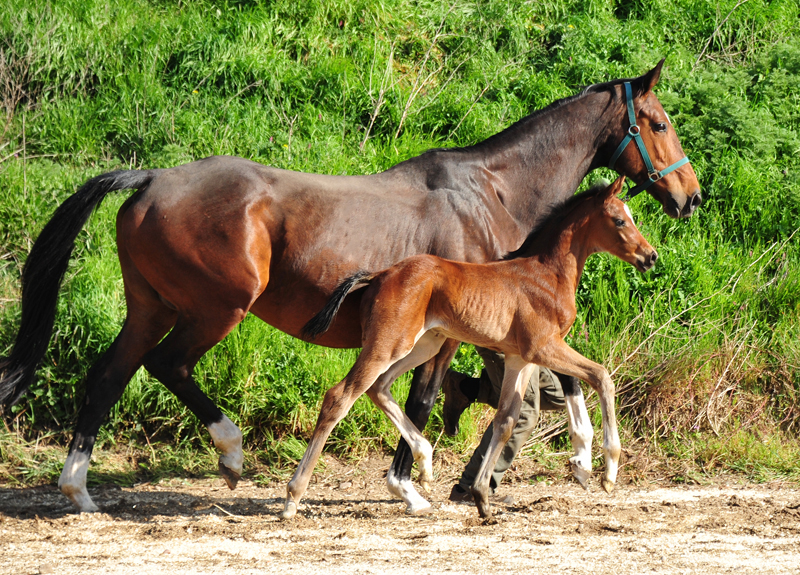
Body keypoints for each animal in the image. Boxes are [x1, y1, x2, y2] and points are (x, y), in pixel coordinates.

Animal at [284, 178, 660, 520]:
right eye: (620, 220)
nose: (650, 256)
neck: (547, 275)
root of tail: (380, 274)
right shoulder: (544, 346)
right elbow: (601, 376)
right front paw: (608, 472)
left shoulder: (520, 358)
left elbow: (506, 419)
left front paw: (481, 497)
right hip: (388, 344)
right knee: (340, 396)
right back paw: (293, 498)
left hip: (422, 345)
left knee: (379, 387)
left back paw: (424, 463)